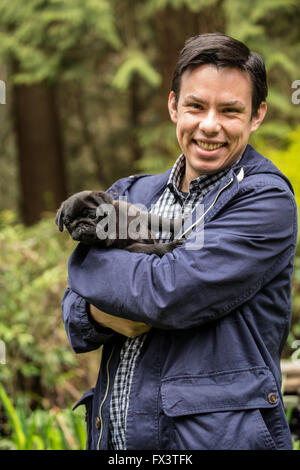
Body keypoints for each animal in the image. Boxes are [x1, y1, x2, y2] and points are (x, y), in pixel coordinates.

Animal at [55, 190, 184, 258]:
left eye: (92, 216)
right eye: (68, 223)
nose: (80, 224)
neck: (113, 226)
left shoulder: (143, 216)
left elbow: (164, 222)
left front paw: (181, 222)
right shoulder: (132, 248)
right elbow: (153, 248)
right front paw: (170, 246)